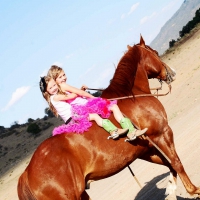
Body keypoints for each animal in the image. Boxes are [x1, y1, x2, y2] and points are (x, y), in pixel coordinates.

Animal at [18, 36, 199, 200]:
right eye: (154, 52)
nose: (172, 73)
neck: (131, 95)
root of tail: (26, 175)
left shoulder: (144, 149)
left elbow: (167, 163)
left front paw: (171, 188)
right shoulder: (161, 133)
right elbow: (175, 162)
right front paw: (193, 190)